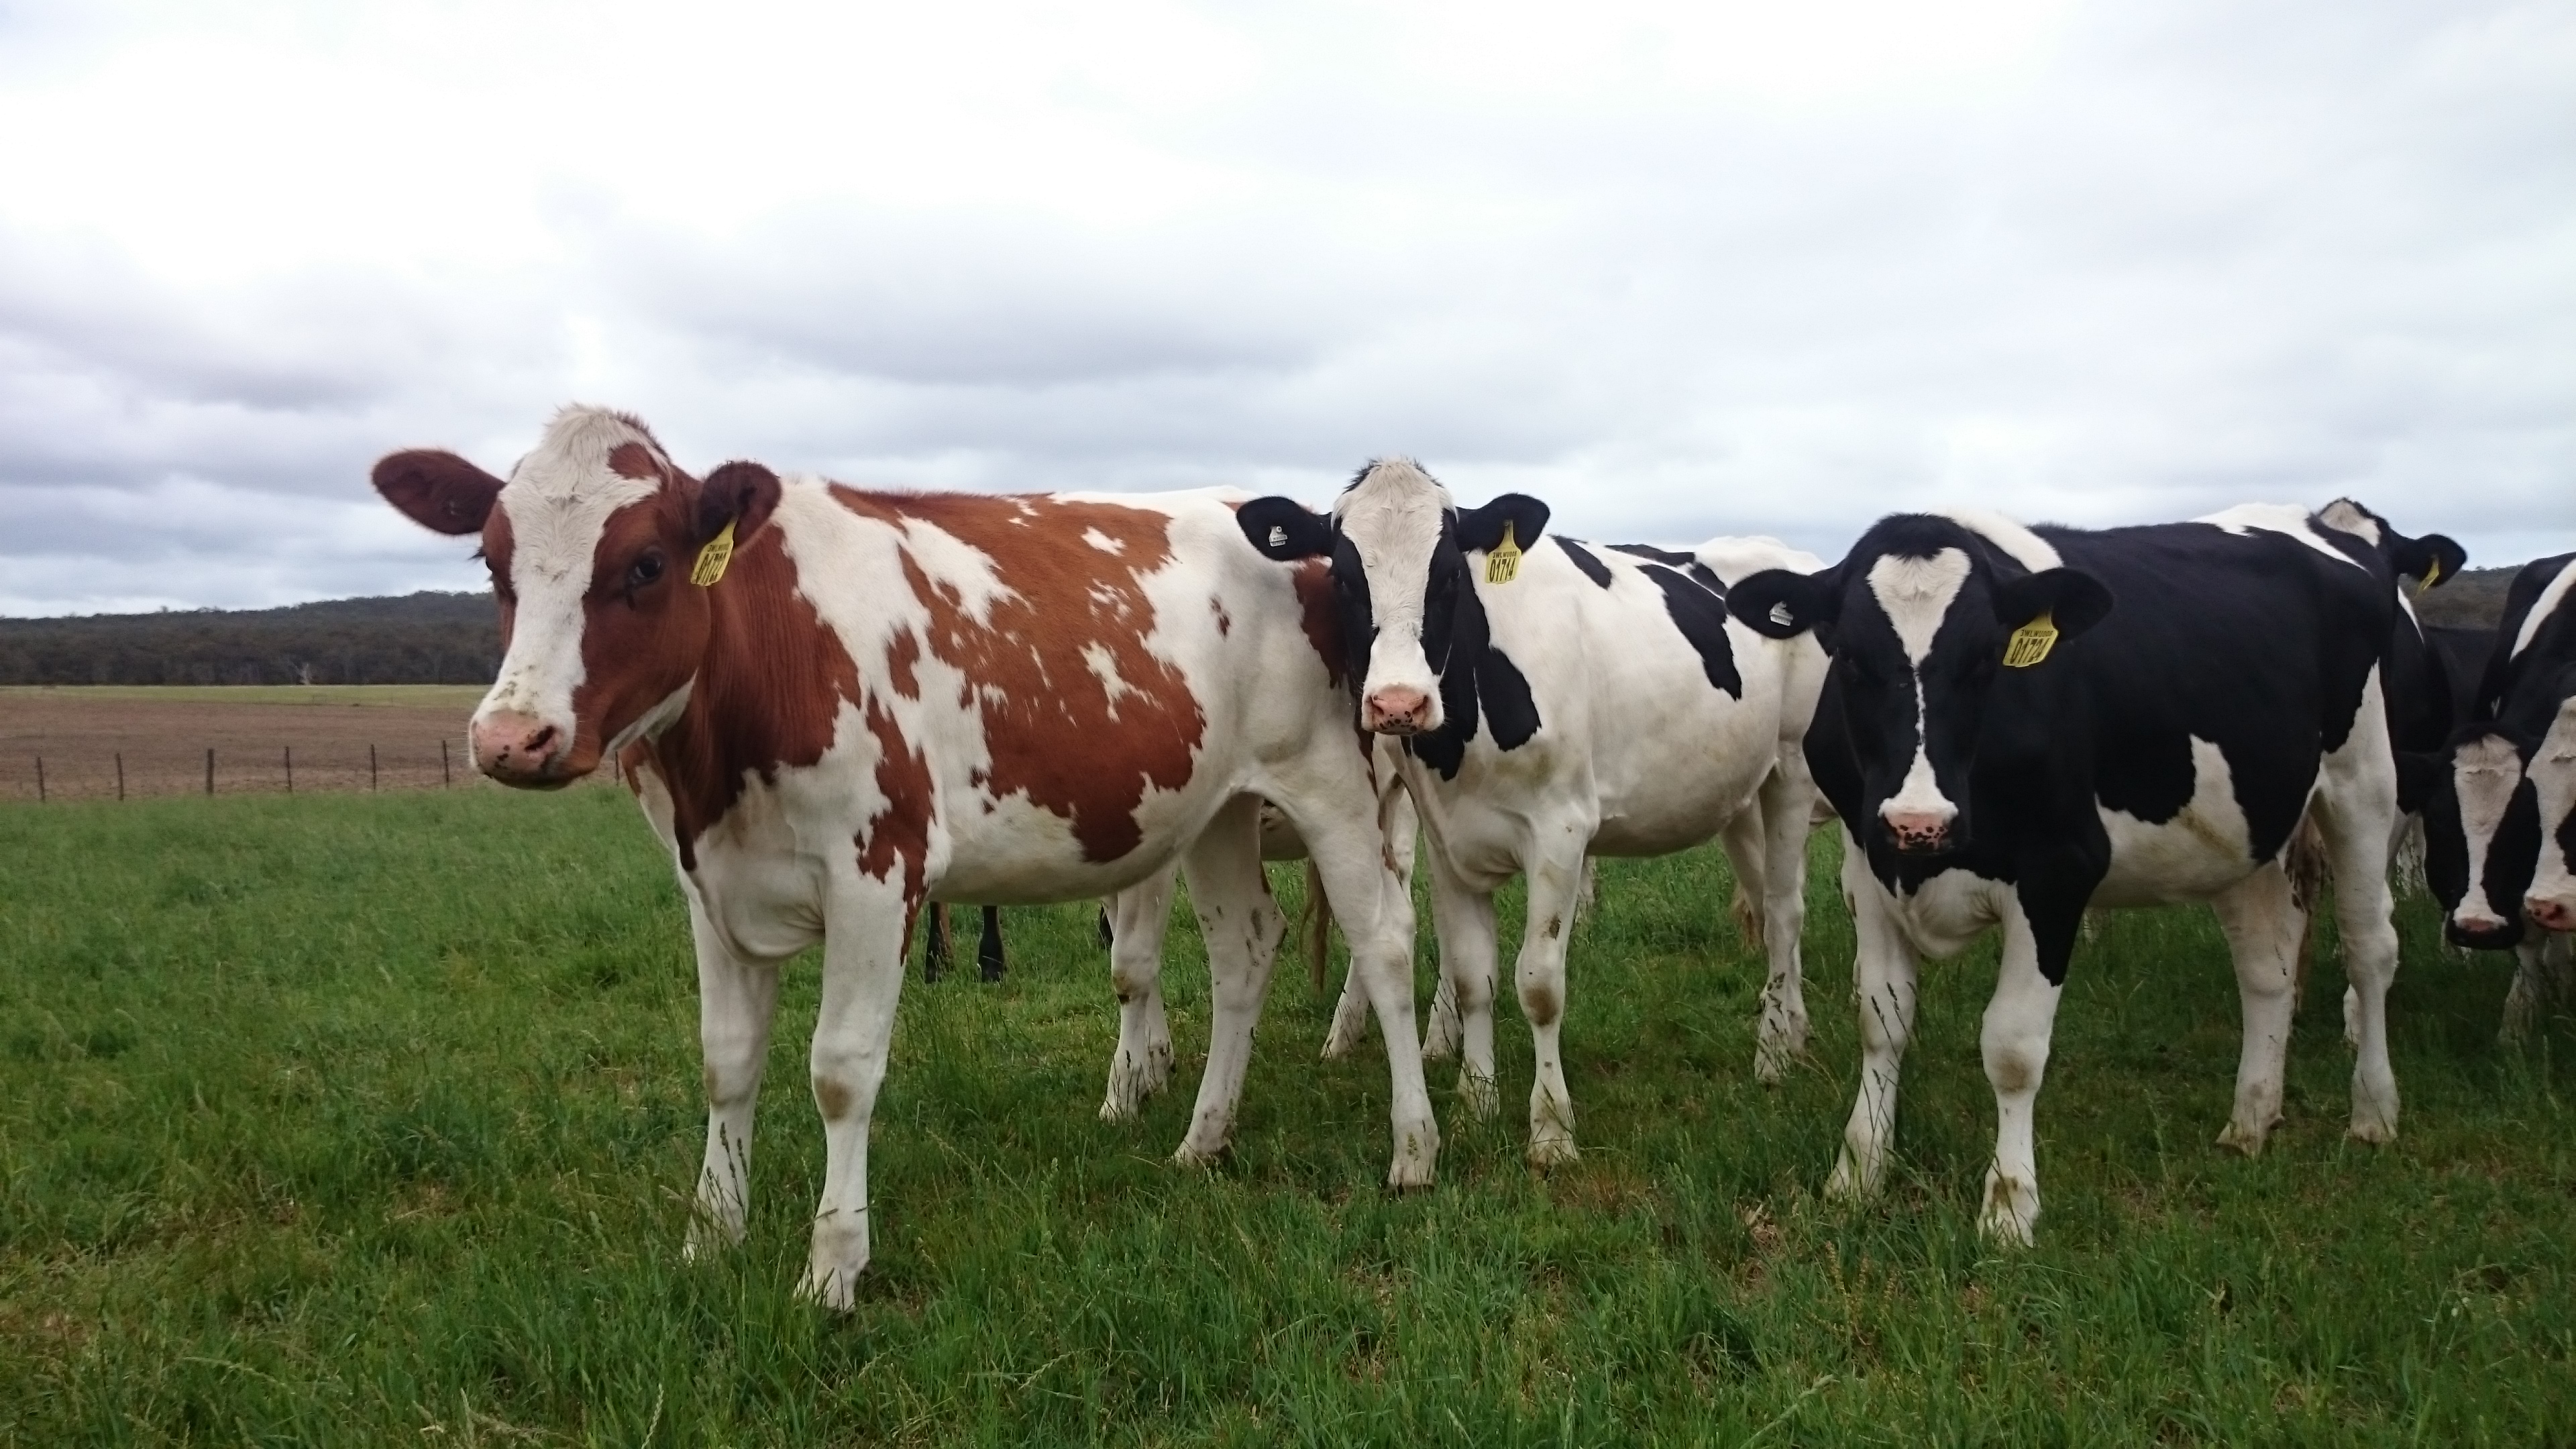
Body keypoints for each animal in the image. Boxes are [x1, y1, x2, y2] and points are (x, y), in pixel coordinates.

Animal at [370, 405, 1437, 1309]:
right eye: (493, 563)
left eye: (646, 564)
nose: (511, 739)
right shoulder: (709, 886)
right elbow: (725, 1064)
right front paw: (711, 1238)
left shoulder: (876, 877)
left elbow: (841, 1070)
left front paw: (832, 1268)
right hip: (1216, 810)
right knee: (1243, 951)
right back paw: (1202, 1140)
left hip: (1337, 787)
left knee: (1384, 943)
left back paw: (1414, 1146)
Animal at [1237, 460, 1831, 1165]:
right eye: (1343, 576)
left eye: (1449, 575)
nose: (1398, 704)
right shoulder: (1447, 842)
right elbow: (1474, 979)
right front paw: (1476, 1104)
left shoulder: (1561, 832)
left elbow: (1540, 986)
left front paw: (1550, 1131)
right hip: (1740, 797)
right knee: (1766, 905)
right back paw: (1793, 1031)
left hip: (1790, 773)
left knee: (1788, 912)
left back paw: (1772, 1057)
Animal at [1731, 500, 2457, 1244]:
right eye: (1848, 656)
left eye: (1986, 657)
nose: (1919, 821)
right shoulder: (1870, 864)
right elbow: (1883, 1021)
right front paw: (1859, 1172)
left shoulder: (2056, 874)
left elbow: (2013, 1046)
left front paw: (2009, 1206)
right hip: (2246, 829)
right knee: (2267, 965)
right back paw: (2251, 1118)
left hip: (2365, 783)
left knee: (2370, 948)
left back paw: (2373, 1112)